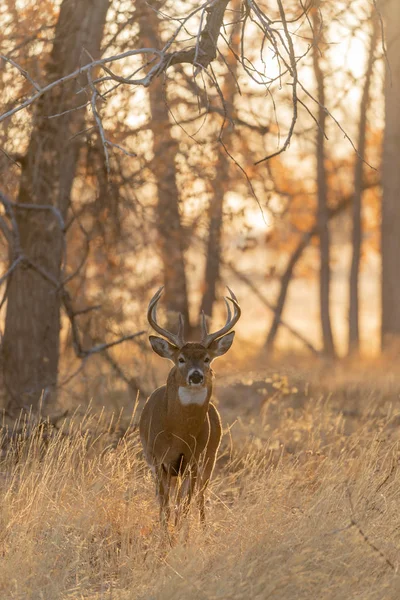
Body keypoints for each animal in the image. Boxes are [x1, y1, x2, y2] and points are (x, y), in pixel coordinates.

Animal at [140, 286, 241, 524]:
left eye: (206, 359)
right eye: (181, 359)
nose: (196, 376)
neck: (178, 433)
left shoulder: (193, 458)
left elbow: (183, 505)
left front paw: (180, 532)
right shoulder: (158, 459)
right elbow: (165, 505)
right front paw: (165, 532)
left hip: (210, 455)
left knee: (200, 496)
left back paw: (202, 526)